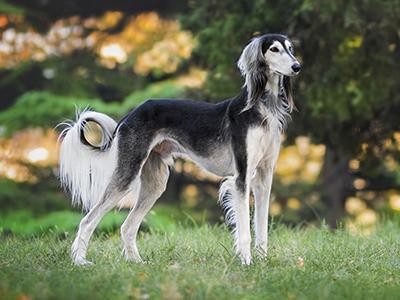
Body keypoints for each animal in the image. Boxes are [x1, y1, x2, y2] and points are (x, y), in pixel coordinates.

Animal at [58, 34, 300, 266]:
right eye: (274, 49)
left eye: (290, 48)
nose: (297, 66)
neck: (262, 108)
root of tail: (130, 115)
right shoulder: (241, 177)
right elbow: (245, 231)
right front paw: (247, 262)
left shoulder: (264, 177)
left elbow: (262, 228)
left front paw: (263, 262)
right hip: (127, 174)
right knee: (87, 220)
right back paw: (80, 261)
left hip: (155, 182)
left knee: (127, 226)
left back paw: (137, 262)